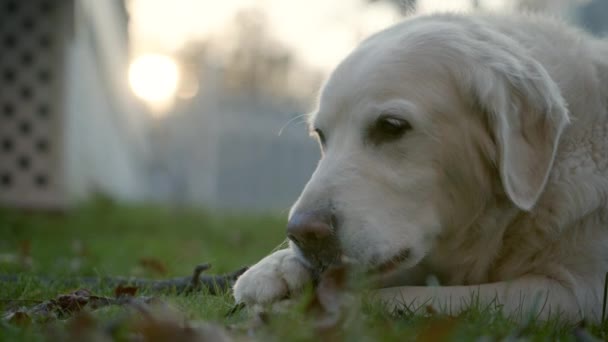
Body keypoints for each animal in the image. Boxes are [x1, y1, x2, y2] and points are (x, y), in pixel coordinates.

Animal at [232, 12, 608, 324]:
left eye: (392, 126)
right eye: (322, 135)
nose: (303, 233)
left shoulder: (574, 293)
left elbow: (420, 297)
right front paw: (278, 269)